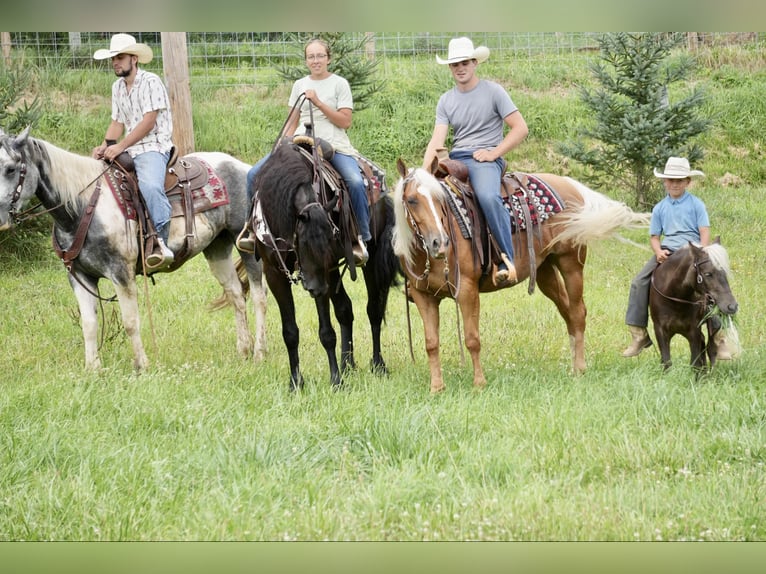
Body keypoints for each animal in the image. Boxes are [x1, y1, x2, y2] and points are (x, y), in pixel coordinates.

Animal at [0, 129, 268, 374]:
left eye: (11, 169)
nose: (1, 218)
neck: (83, 207)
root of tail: (244, 167)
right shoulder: (78, 275)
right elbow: (89, 323)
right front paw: (92, 369)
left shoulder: (121, 273)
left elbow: (130, 321)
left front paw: (141, 365)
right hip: (217, 247)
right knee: (235, 294)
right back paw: (243, 351)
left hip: (245, 244)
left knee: (259, 296)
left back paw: (259, 353)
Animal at [252, 142, 402, 392]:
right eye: (303, 242)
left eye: (331, 238)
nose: (314, 288)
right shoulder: (274, 273)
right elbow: (290, 332)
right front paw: (296, 382)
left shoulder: (325, 272)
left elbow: (327, 332)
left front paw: (336, 380)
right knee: (345, 309)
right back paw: (348, 364)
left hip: (365, 263)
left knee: (374, 310)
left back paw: (377, 364)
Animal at [396, 162, 656, 396]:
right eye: (411, 200)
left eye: (439, 199)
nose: (439, 242)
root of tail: (570, 185)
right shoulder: (423, 296)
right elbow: (431, 343)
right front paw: (436, 388)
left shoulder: (467, 290)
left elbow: (472, 339)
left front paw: (479, 384)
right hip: (545, 272)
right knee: (567, 312)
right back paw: (574, 365)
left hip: (570, 263)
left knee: (578, 312)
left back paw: (580, 368)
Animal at [652, 238, 740, 374]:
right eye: (708, 274)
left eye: (724, 272)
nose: (732, 306)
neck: (675, 298)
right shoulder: (660, 330)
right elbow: (667, 362)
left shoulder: (694, 331)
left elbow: (695, 363)